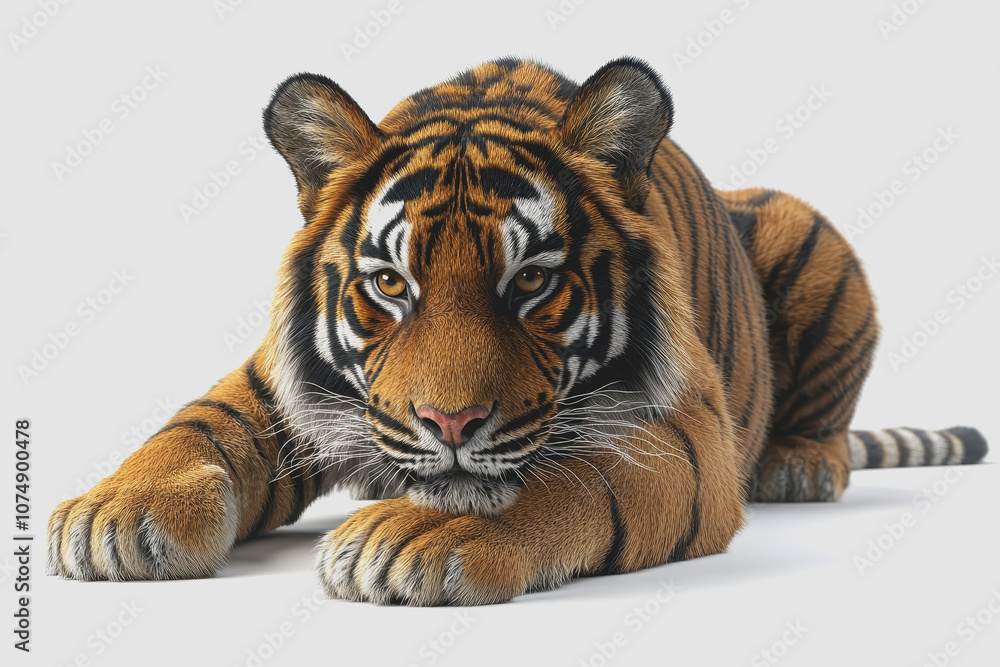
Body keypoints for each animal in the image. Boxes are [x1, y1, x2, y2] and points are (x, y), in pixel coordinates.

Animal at [47, 57, 988, 605]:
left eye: (531, 281)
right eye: (390, 284)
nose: (451, 424)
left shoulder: (684, 427)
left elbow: (574, 476)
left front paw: (421, 533)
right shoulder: (288, 383)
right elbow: (200, 422)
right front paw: (116, 513)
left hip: (807, 229)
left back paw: (798, 464)